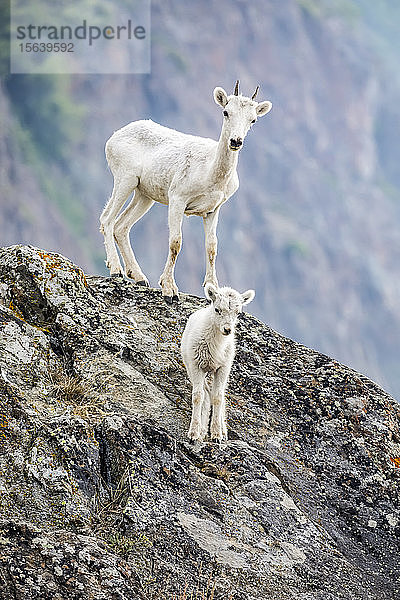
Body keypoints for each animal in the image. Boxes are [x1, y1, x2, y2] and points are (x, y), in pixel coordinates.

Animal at [100, 82, 272, 302]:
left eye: (253, 119)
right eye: (226, 112)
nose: (235, 141)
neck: (210, 172)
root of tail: (114, 137)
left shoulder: (212, 211)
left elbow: (212, 246)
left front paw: (212, 288)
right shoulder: (177, 200)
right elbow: (176, 242)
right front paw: (169, 290)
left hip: (144, 195)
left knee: (121, 226)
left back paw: (139, 277)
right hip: (125, 180)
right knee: (107, 219)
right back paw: (116, 270)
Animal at [180, 282, 255, 440]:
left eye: (238, 313)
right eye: (217, 309)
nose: (227, 329)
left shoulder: (223, 368)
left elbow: (218, 398)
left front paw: (216, 434)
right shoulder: (196, 366)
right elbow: (198, 397)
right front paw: (194, 433)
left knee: (218, 394)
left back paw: (223, 430)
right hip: (193, 368)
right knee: (206, 393)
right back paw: (202, 430)